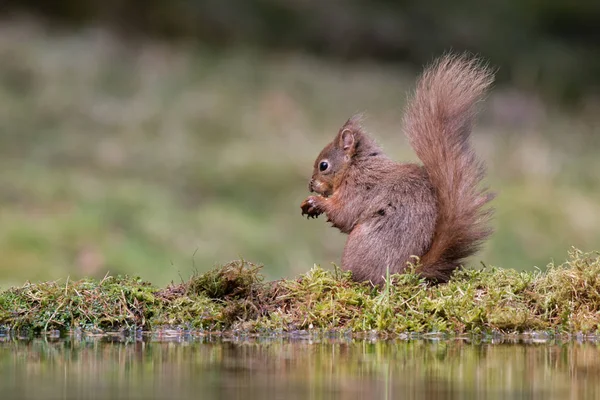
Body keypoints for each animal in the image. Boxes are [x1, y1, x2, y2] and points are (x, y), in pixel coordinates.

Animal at [302, 54, 494, 284]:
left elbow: (344, 214)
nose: (311, 185)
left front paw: (316, 202)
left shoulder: (358, 187)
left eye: (324, 165)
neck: (356, 165)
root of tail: (405, 273)